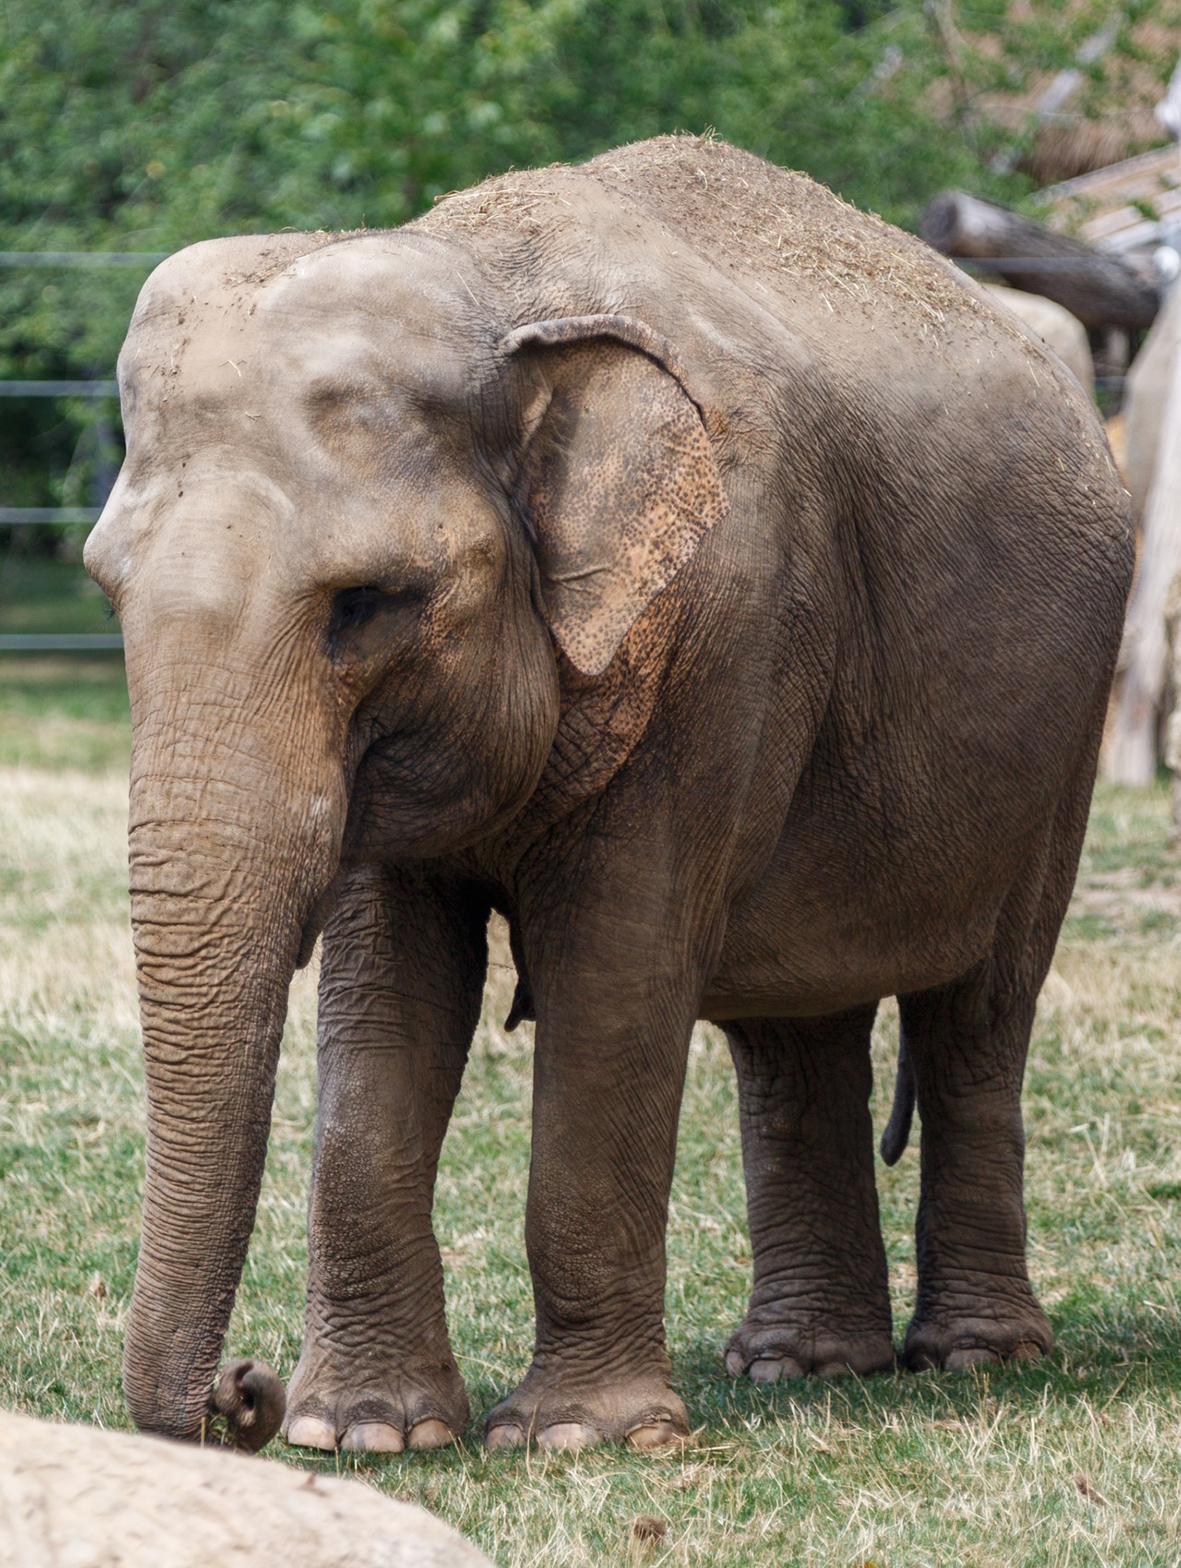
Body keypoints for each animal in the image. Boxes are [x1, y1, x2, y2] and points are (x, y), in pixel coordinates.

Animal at [78, 134, 1129, 1455]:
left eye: (364, 604)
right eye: (105, 585)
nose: (239, 1388)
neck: (497, 287)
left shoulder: (722, 625)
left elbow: (614, 977)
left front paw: (579, 1437)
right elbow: (384, 1002)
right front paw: (365, 1432)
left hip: (1062, 733)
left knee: (979, 1014)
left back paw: (970, 1357)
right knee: (794, 1030)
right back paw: (802, 1365)